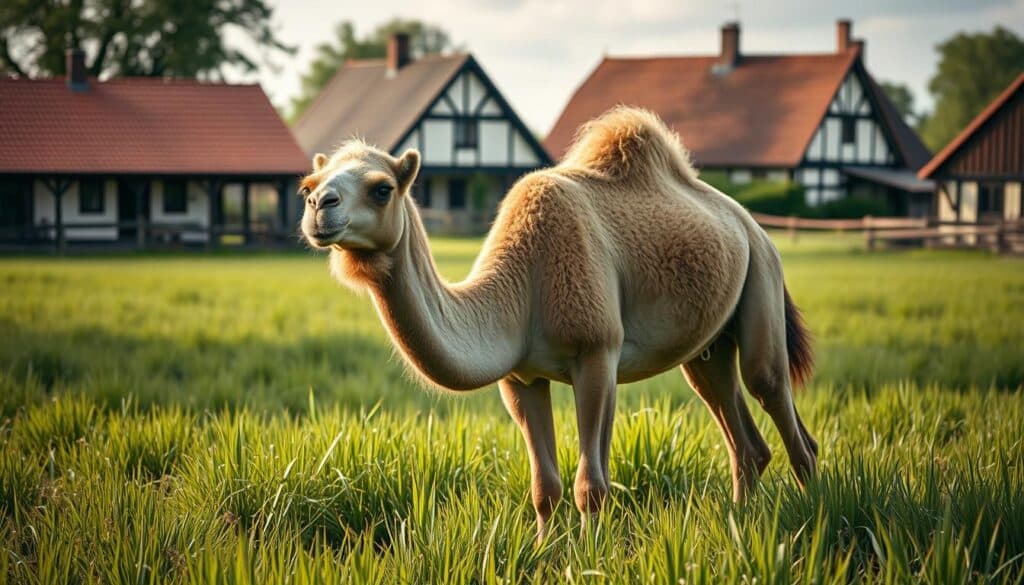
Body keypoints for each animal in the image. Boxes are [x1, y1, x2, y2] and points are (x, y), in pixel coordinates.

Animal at [298, 107, 818, 537]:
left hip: (763, 278)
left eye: (382, 188)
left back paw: (812, 512)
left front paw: (591, 555)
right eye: (308, 185)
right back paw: (742, 521)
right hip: (708, 347)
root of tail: (750, 222)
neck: (519, 289)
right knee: (739, 431)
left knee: (773, 392)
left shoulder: (597, 353)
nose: (320, 205)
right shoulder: (520, 378)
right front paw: (545, 551)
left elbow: (592, 482)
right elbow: (544, 486)